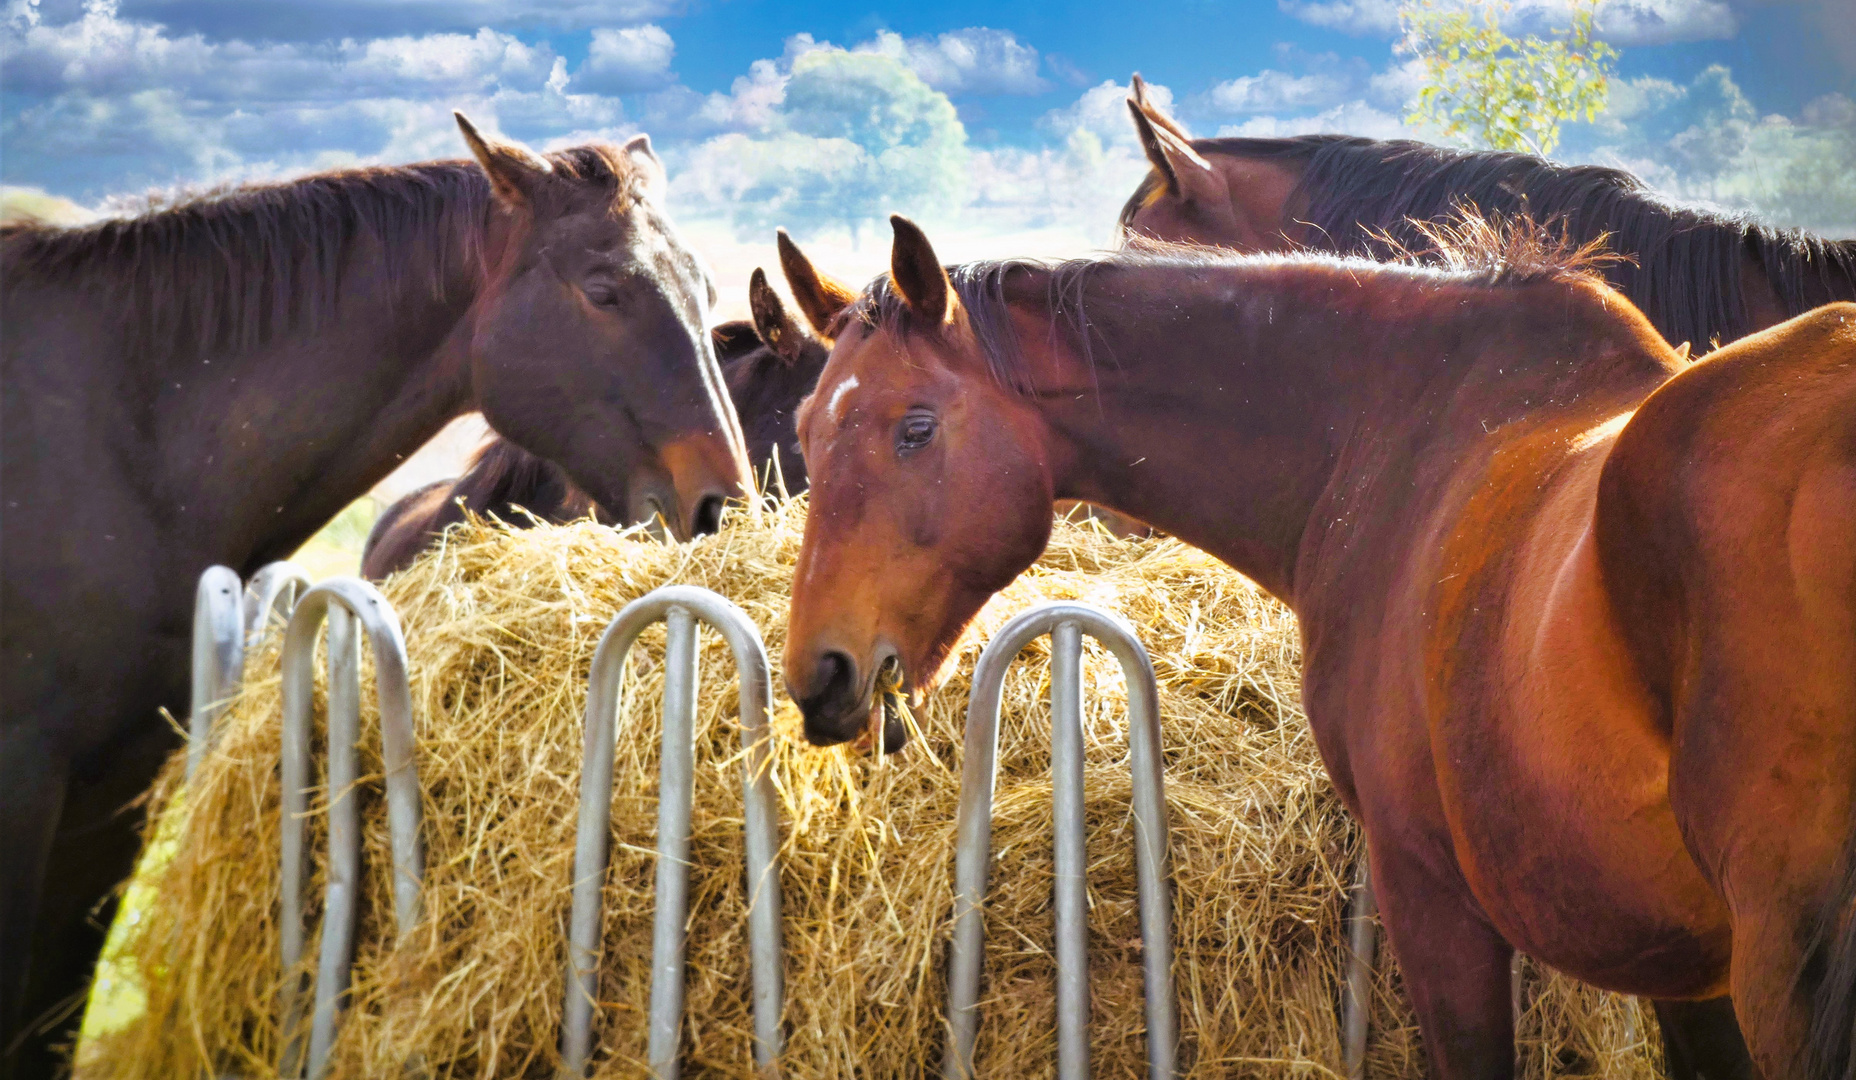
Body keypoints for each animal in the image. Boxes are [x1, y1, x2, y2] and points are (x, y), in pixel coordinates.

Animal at [3, 112, 753, 1076]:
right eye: (602, 289)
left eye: (703, 286)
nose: (721, 505)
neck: (124, 433)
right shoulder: (23, 783)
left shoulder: (107, 799)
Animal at [783, 213, 1856, 1080]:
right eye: (803, 426)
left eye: (915, 428)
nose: (818, 675)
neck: (1397, 437)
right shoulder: (1681, 965)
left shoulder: (1429, 895)